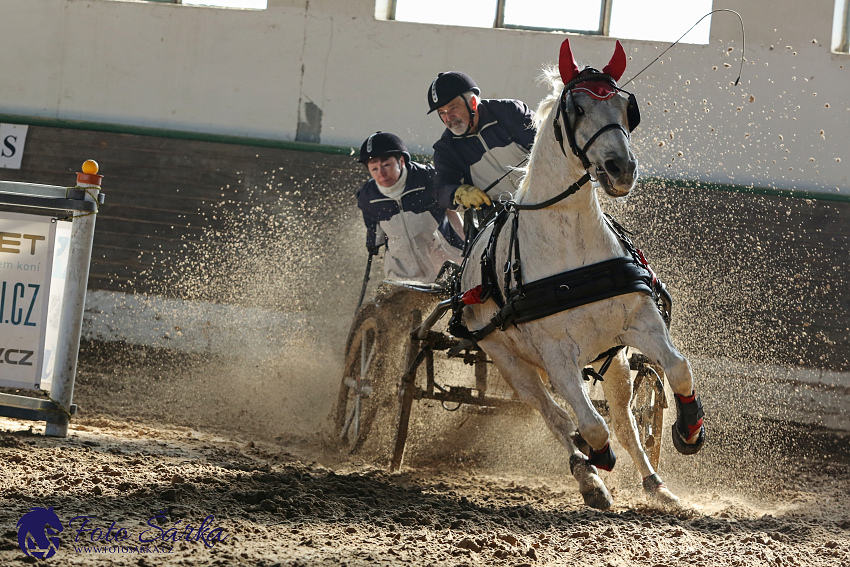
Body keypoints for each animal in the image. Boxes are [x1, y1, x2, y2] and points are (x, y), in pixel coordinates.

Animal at [458, 40, 704, 510]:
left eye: (628, 108)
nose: (620, 168)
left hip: (612, 360)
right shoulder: (557, 355)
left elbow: (678, 369)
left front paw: (689, 429)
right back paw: (588, 475)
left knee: (625, 421)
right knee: (556, 416)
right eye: (577, 108)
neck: (571, 244)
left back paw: (656, 485)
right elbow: (588, 425)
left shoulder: (639, 322)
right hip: (511, 361)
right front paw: (594, 458)